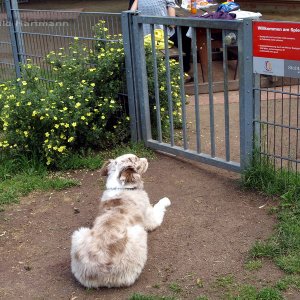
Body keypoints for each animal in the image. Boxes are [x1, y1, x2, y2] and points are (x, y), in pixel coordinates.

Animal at [69, 154, 170, 288]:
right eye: (136, 159)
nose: (146, 159)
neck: (122, 187)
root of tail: (101, 272)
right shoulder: (151, 218)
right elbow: (159, 206)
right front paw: (166, 199)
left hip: (78, 234)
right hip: (139, 233)